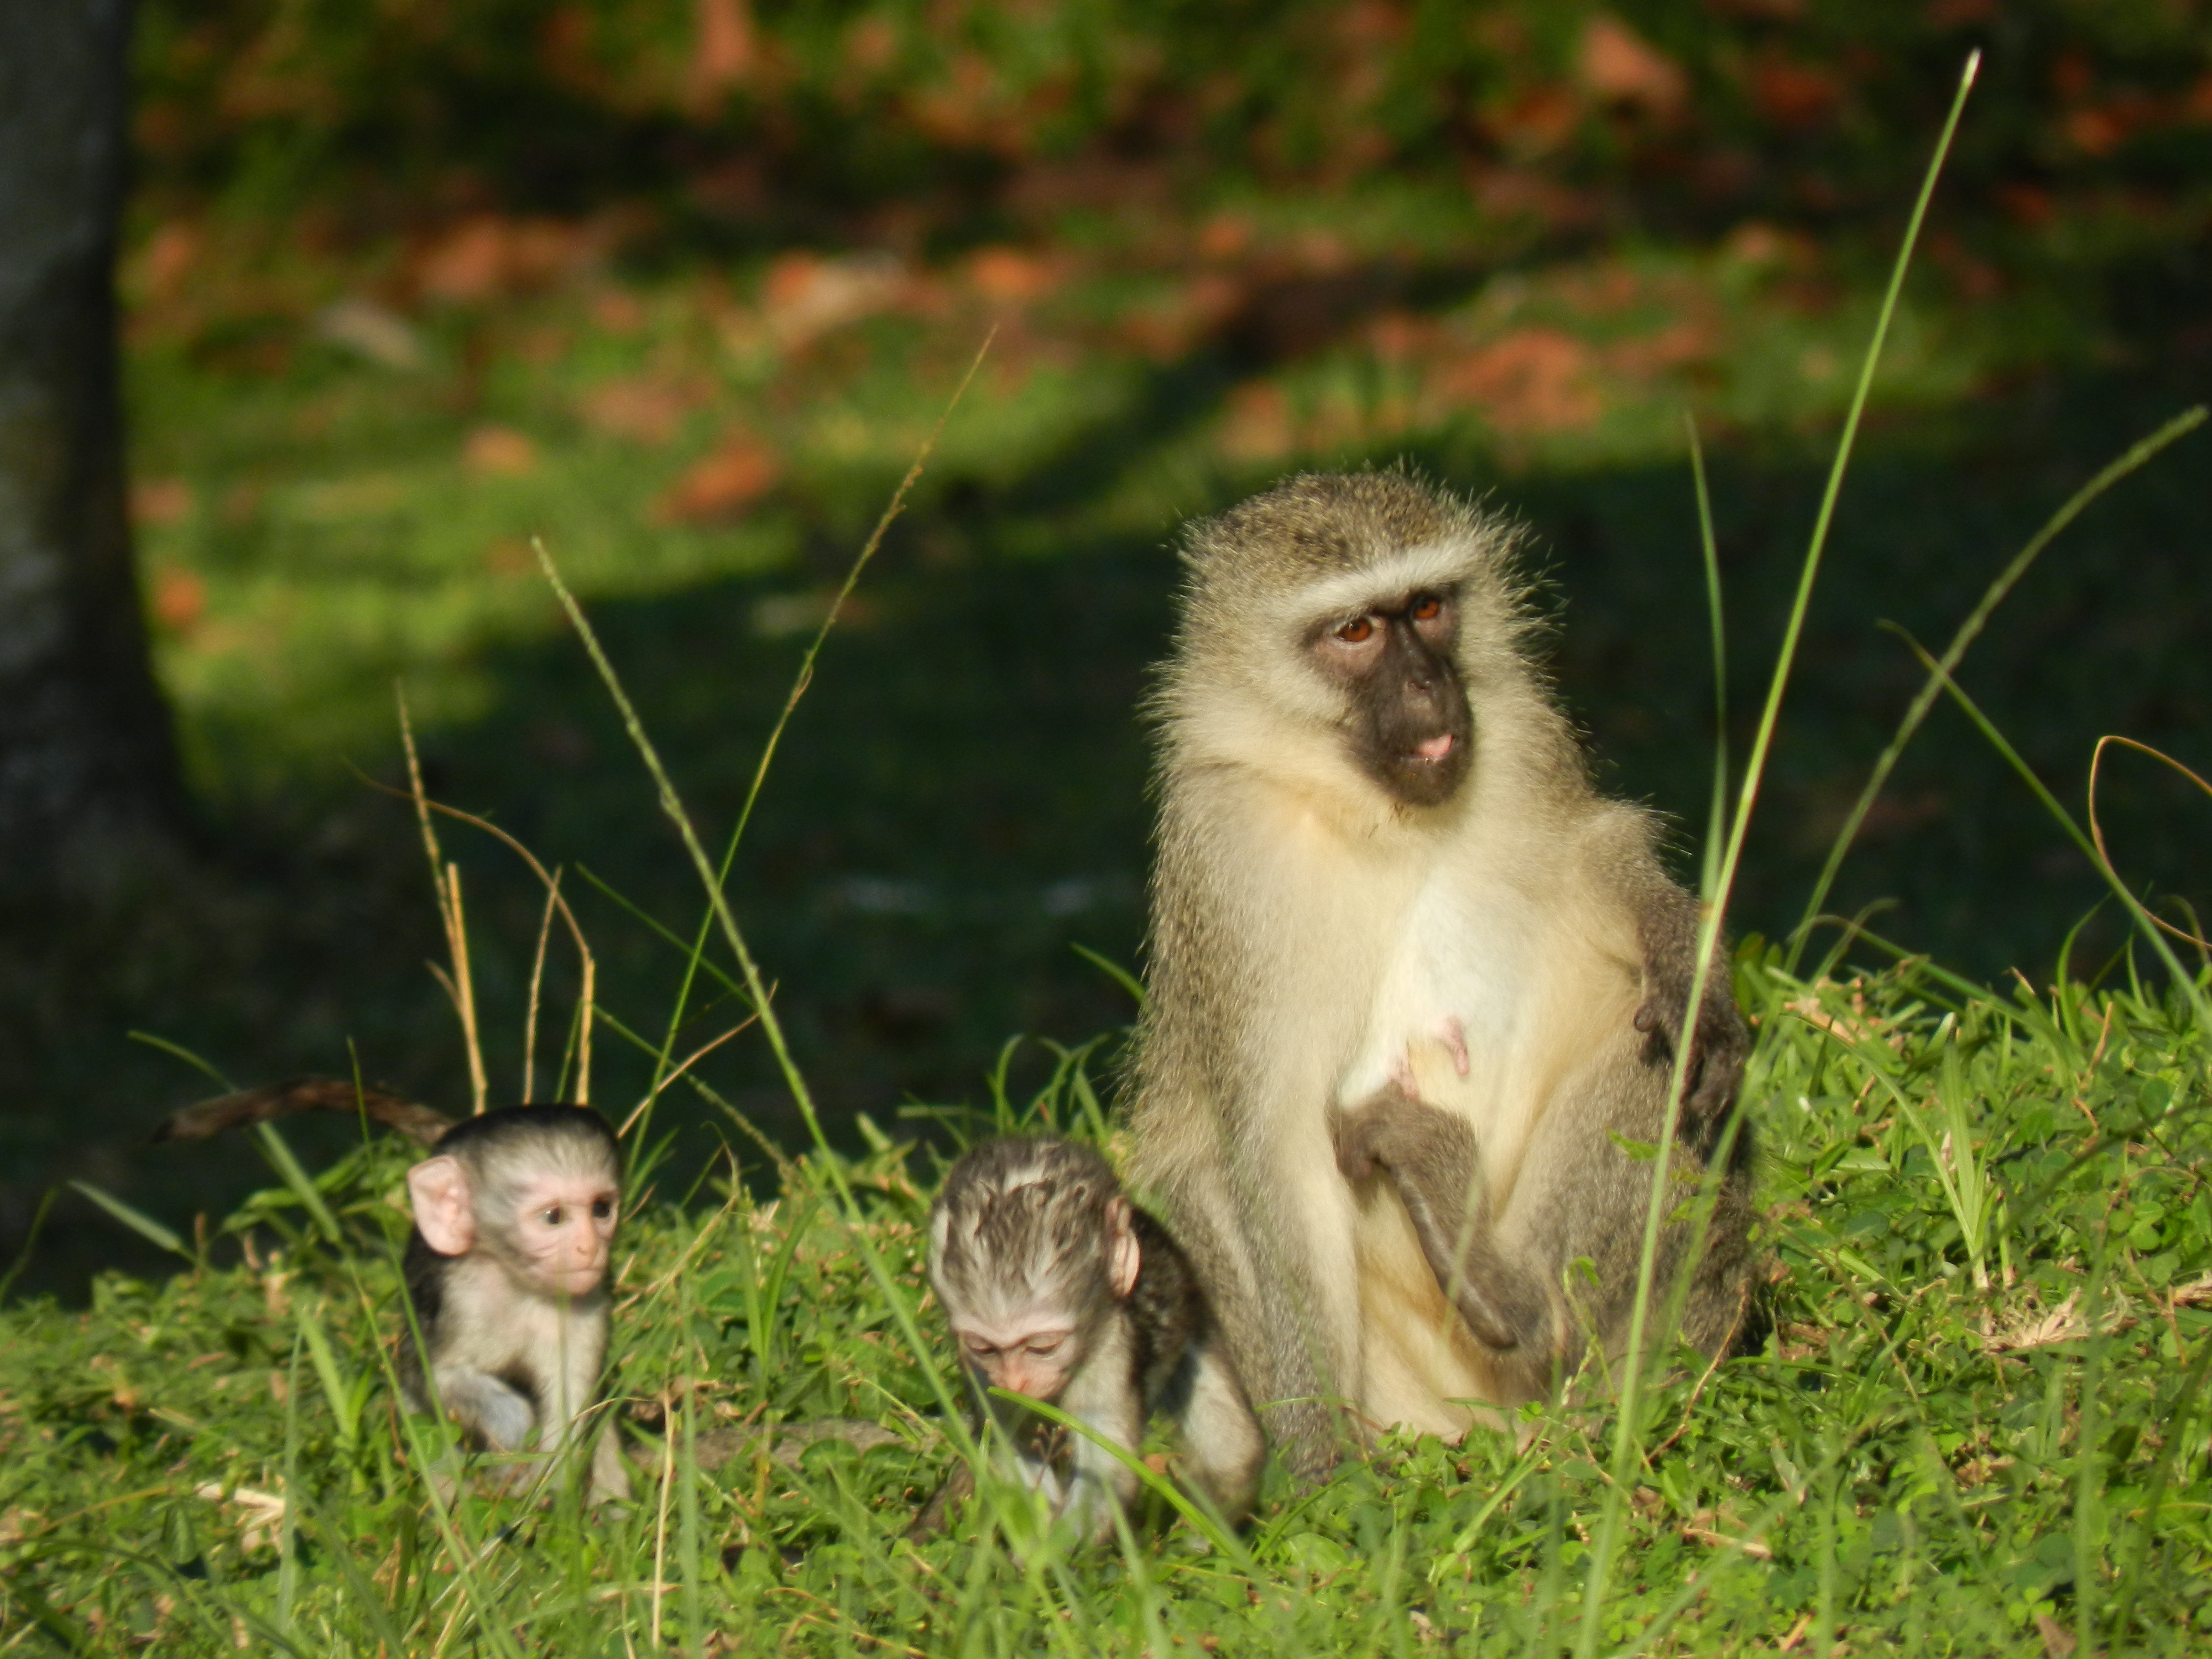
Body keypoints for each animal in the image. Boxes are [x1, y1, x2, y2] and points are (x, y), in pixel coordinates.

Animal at [400, 1106, 633, 1504]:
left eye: (601, 1209)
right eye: (554, 1217)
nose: (589, 1248)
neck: (516, 1286)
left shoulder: (585, 1306)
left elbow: (571, 1401)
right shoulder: (461, 1298)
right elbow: (426, 1379)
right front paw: (512, 1428)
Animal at [916, 1141, 1265, 1540]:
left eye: (1043, 1347)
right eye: (985, 1349)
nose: (1015, 1383)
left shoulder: (1110, 1354)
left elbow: (1106, 1475)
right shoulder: (979, 1372)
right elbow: (1008, 1442)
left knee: (1234, 1458)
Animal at [1133, 471, 1752, 1478]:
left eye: (1427, 609)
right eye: (1355, 632)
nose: (1430, 685)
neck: (1374, 810)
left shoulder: (1524, 732)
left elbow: (1598, 851)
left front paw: (1678, 952)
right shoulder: (1225, 851)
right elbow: (1275, 1146)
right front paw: (1321, 1471)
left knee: (1668, 1065)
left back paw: (1521, 1303)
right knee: (1199, 1177)